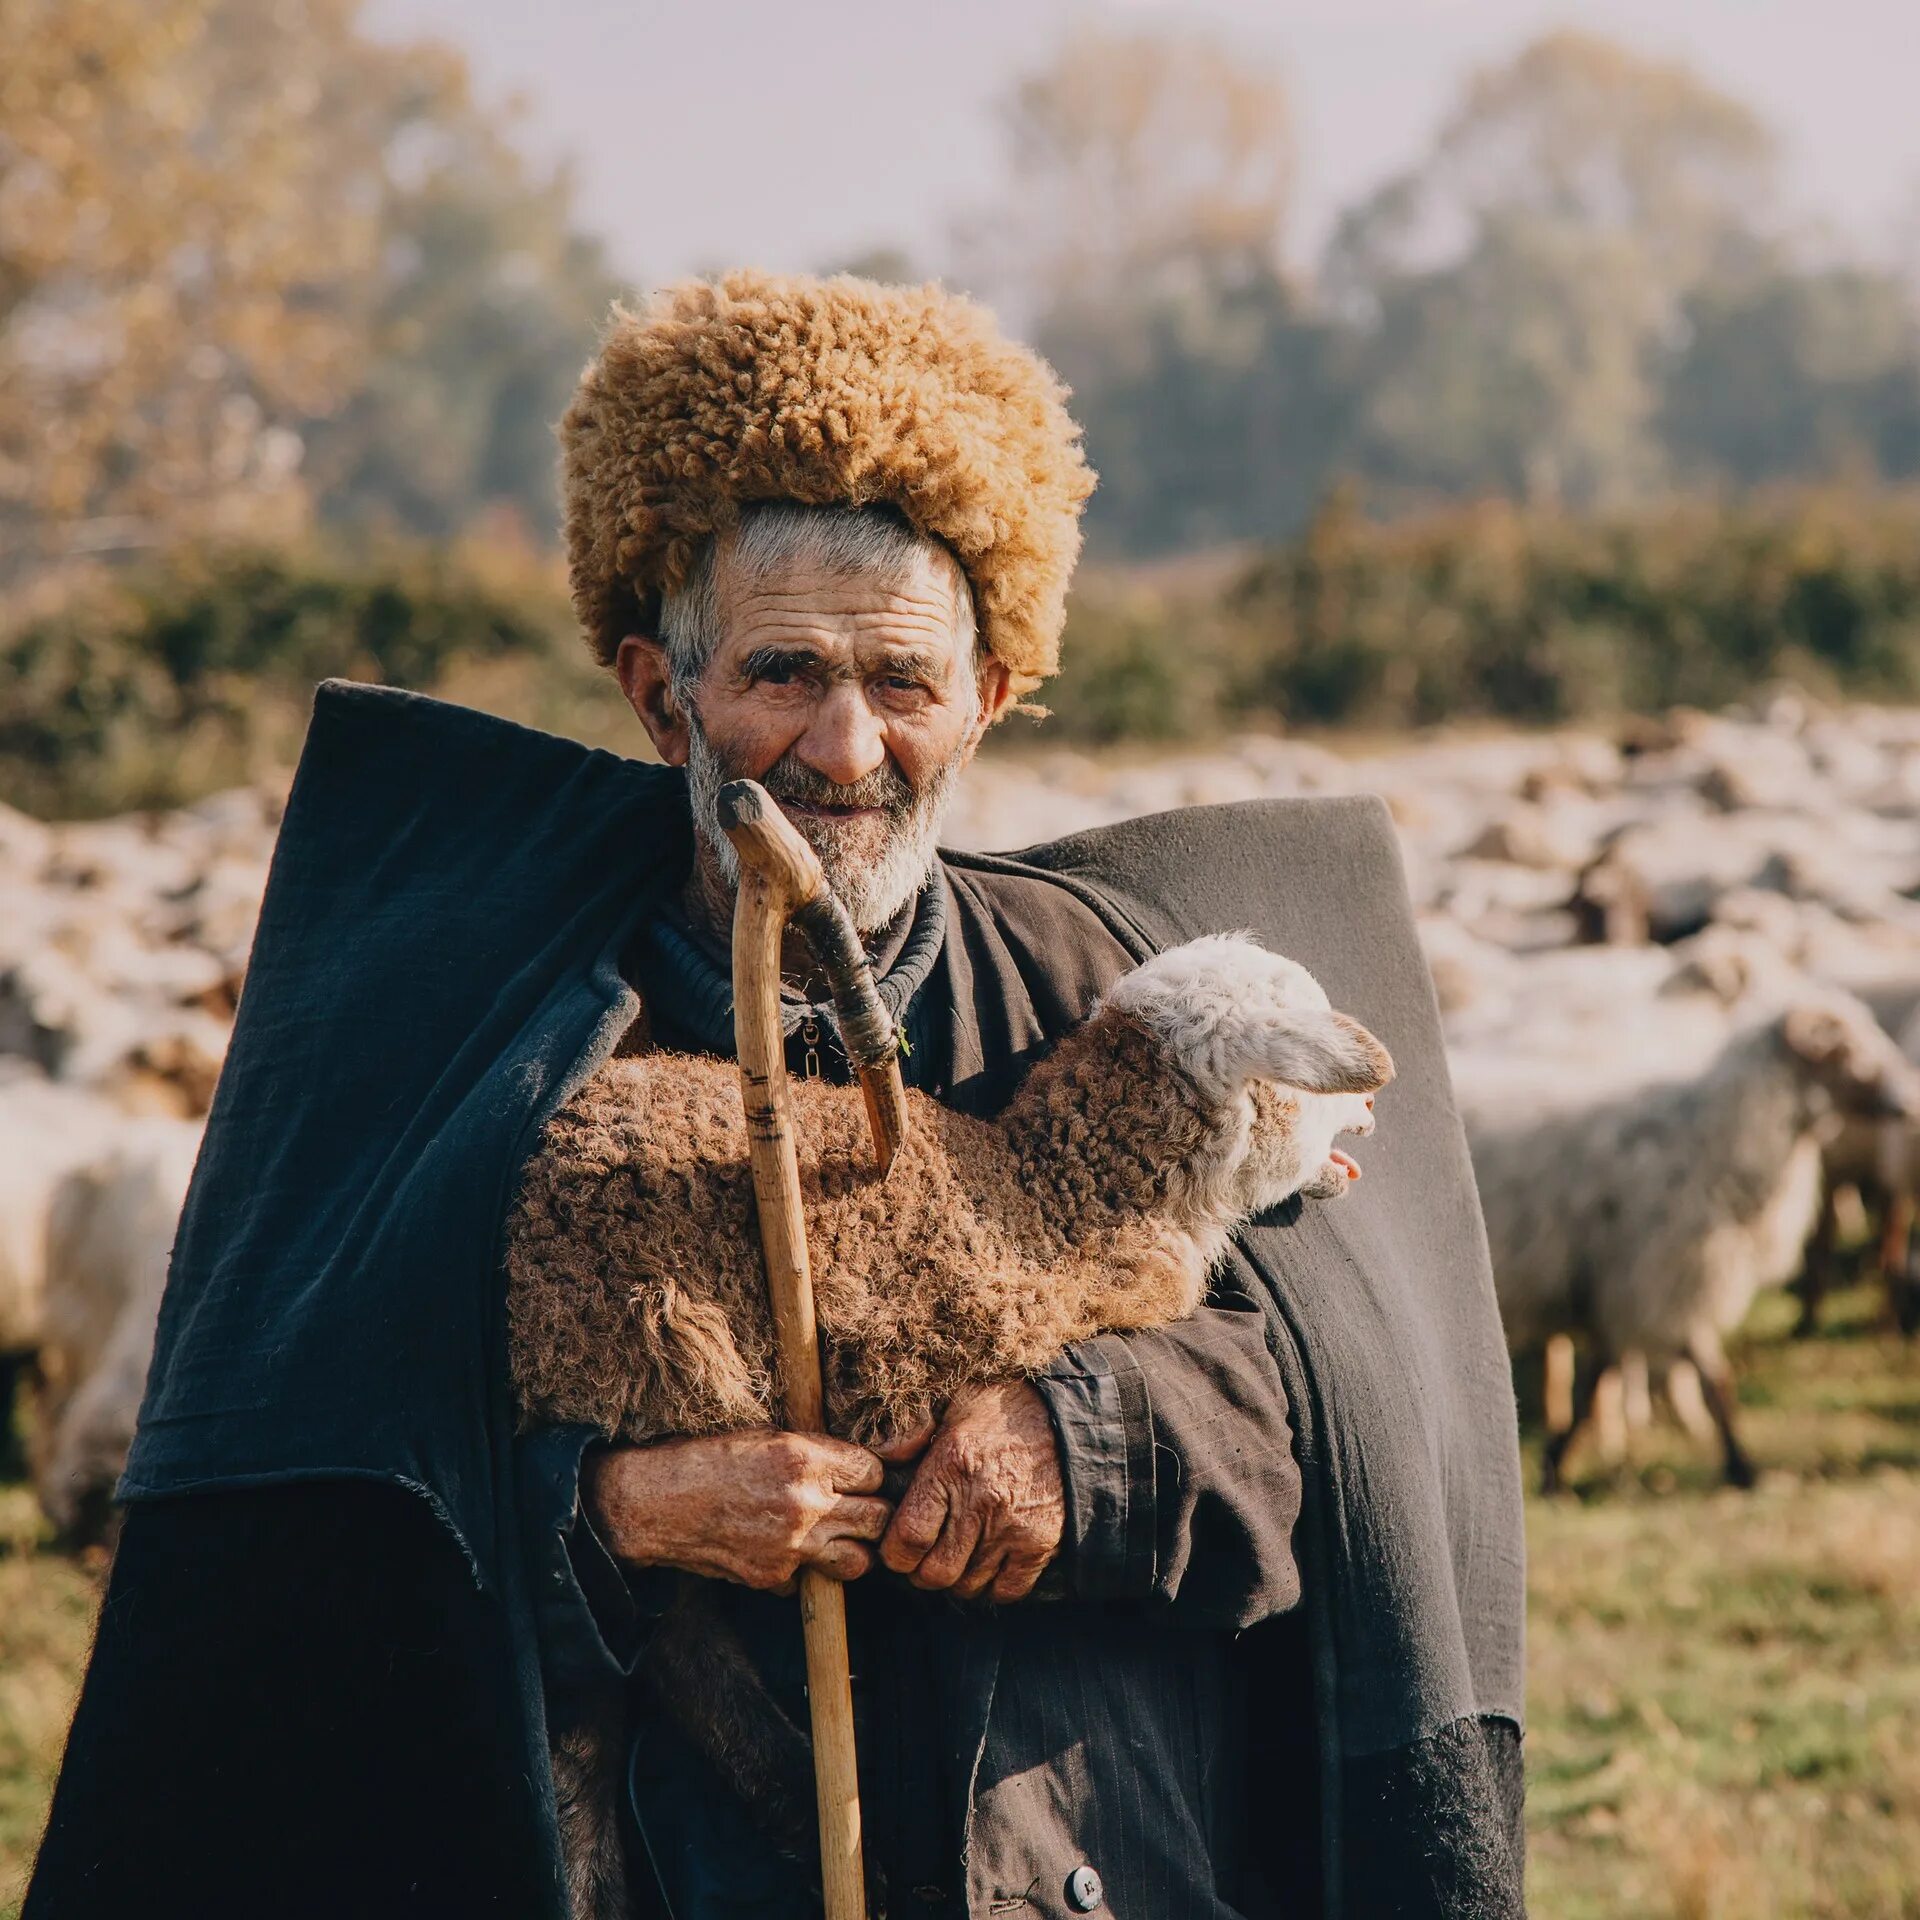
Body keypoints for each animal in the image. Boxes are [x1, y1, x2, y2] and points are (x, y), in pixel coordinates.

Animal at [1466, 983, 1920, 1489]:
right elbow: (1711, 1377)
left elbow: (1599, 1379)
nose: (1906, 1103)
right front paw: (1742, 1466)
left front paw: (1556, 1462)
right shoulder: (1667, 1279)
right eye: (1843, 1051)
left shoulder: (1627, 1286)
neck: (1711, 1141)